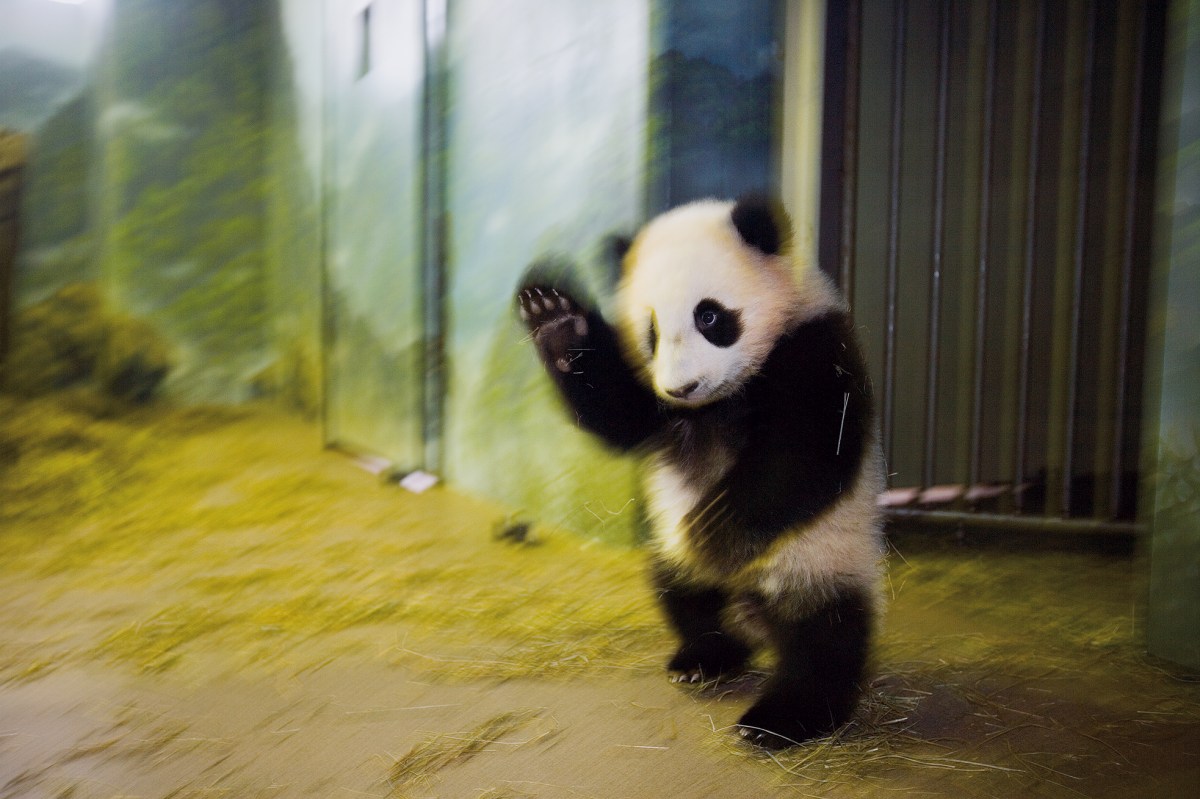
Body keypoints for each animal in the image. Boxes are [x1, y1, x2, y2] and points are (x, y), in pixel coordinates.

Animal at [511, 194, 888, 748]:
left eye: (709, 316)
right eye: (650, 332)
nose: (681, 387)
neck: (720, 401)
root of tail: (754, 614)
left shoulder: (814, 345)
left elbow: (809, 454)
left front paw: (714, 529)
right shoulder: (655, 405)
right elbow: (619, 416)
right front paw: (554, 318)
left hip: (818, 558)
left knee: (823, 639)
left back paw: (781, 719)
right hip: (677, 552)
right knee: (684, 593)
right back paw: (704, 656)